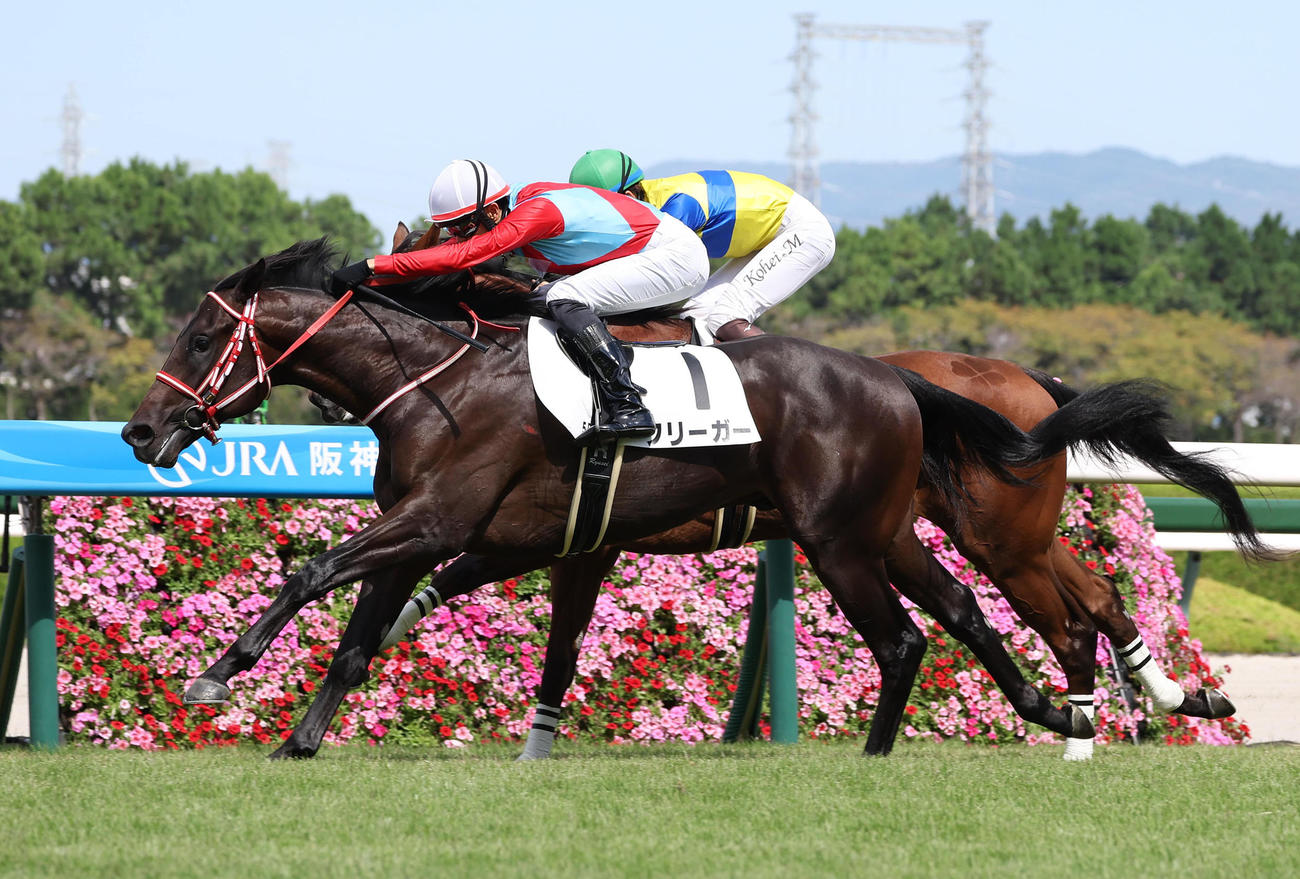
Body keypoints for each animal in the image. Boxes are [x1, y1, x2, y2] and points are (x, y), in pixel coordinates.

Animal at [121, 238, 1095, 759]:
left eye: (202, 336)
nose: (139, 431)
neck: (436, 380)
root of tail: (897, 380)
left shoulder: (437, 519)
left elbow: (314, 571)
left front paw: (217, 672)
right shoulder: (447, 532)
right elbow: (360, 640)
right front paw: (301, 738)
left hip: (847, 540)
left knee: (912, 638)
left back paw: (901, 750)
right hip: (881, 532)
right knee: (959, 614)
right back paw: (1047, 711)